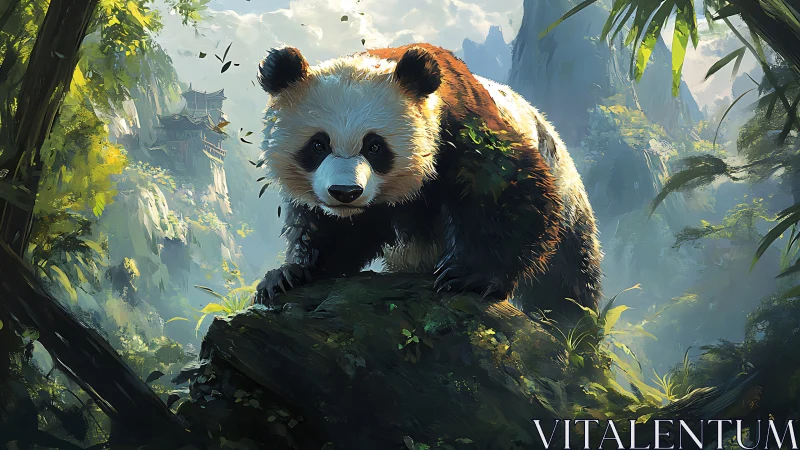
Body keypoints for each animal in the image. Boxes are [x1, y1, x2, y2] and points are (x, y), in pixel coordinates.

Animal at [254, 43, 602, 322]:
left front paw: (468, 275)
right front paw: (289, 274)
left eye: (375, 146)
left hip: (570, 204)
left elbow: (510, 190)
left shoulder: (462, 128)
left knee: (565, 280)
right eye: (318, 145)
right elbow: (328, 230)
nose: (345, 193)